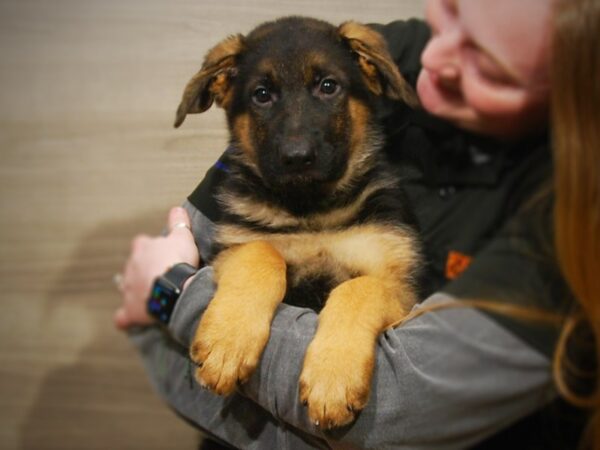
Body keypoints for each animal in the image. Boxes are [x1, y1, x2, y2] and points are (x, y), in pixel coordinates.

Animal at [175, 16, 422, 428]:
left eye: (328, 86)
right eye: (261, 95)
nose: (297, 157)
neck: (310, 211)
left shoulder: (403, 288)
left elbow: (360, 288)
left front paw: (332, 378)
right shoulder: (232, 247)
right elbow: (260, 254)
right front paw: (228, 342)